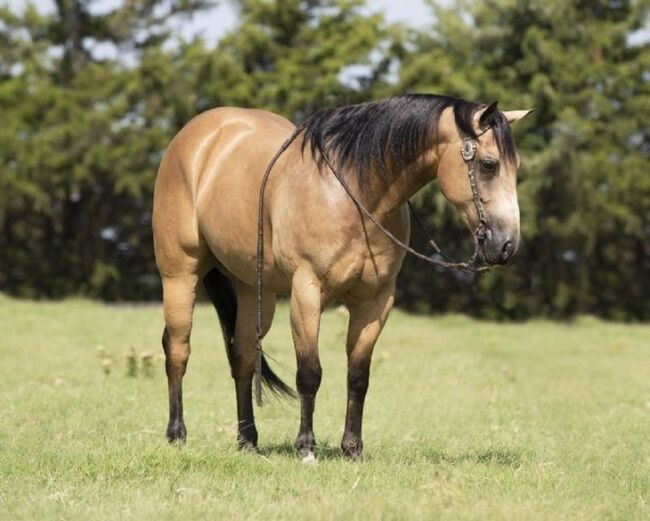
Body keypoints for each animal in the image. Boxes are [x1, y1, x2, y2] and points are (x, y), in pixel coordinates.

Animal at [153, 93, 532, 460]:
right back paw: (176, 434)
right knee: (177, 349)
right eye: (489, 165)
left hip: (252, 291)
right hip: (180, 275)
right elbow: (309, 373)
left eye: (515, 168)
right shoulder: (307, 293)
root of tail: (197, 136)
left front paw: (352, 448)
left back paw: (247, 441)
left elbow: (358, 376)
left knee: (243, 357)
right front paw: (306, 447)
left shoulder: (375, 302)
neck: (356, 193)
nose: (508, 246)